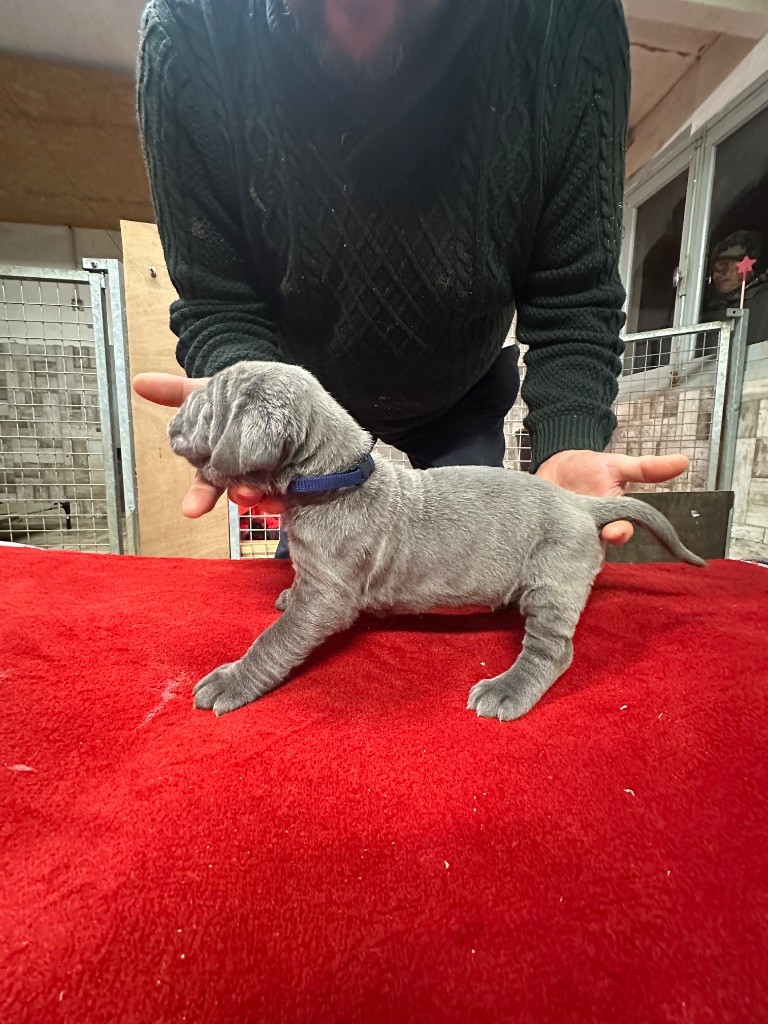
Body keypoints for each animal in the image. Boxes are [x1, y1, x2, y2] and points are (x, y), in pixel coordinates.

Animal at [168, 362, 705, 721]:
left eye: (204, 406)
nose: (172, 423)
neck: (334, 476)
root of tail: (581, 504)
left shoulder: (330, 597)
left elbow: (275, 641)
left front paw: (233, 680)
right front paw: (285, 593)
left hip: (553, 578)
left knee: (553, 651)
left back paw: (507, 690)